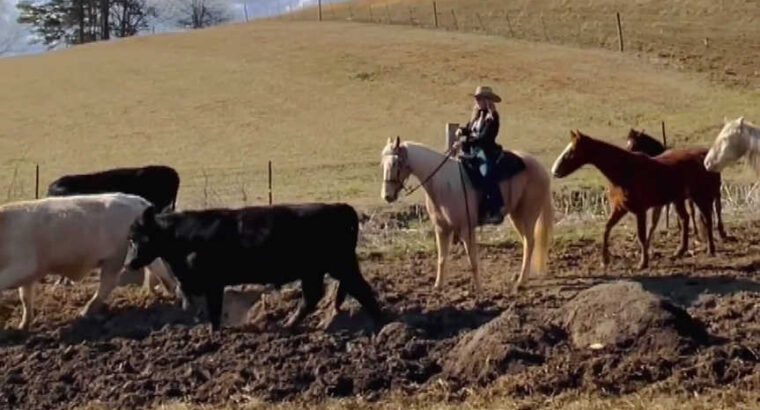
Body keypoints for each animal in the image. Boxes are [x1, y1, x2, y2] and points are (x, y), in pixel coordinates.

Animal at [0, 193, 180, 330]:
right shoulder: (29, 274)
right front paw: (22, 326)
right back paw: (164, 293)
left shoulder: (24, 265)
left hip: (115, 257)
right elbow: (25, 298)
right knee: (157, 268)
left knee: (108, 284)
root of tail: (141, 202)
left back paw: (84, 312)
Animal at [126, 203, 386, 332]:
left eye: (136, 238)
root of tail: (340, 207)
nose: (128, 263)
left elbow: (214, 310)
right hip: (316, 270)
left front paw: (213, 333)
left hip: (339, 264)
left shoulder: (213, 283)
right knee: (312, 297)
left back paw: (380, 325)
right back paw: (288, 325)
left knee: (361, 289)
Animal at [380, 137, 552, 292]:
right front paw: (438, 286)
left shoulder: (466, 229)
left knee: (530, 243)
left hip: (527, 215)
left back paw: (521, 282)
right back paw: (520, 278)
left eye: (396, 163)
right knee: (526, 242)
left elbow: (472, 260)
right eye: (383, 164)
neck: (443, 183)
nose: (387, 196)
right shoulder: (441, 228)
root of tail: (539, 167)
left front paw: (479, 289)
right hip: (516, 216)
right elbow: (442, 258)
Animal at [548, 129, 716, 270]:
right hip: (678, 199)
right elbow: (606, 229)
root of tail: (703, 156)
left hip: (698, 196)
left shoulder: (640, 211)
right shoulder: (620, 209)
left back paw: (711, 250)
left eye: (571, 151)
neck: (625, 171)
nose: (554, 171)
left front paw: (643, 263)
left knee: (707, 219)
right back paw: (679, 252)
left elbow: (641, 236)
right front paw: (605, 260)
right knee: (685, 218)